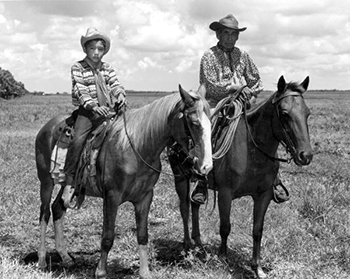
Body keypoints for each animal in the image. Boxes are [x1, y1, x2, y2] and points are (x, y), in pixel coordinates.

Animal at [35, 86, 212, 278]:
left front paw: (145, 272)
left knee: (58, 208)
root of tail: (47, 127)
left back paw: (65, 257)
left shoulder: (145, 197)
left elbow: (142, 235)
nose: (206, 166)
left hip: (64, 184)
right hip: (46, 182)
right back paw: (42, 260)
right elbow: (107, 236)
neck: (136, 146)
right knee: (44, 213)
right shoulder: (111, 196)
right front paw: (101, 272)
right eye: (194, 123)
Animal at [168, 75, 314, 278]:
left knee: (195, 204)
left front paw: (257, 267)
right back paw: (188, 245)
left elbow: (257, 230)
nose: (305, 155)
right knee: (184, 208)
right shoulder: (225, 194)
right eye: (284, 113)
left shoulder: (263, 195)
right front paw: (223, 258)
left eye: (307, 113)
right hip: (180, 177)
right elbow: (225, 227)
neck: (253, 152)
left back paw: (199, 243)